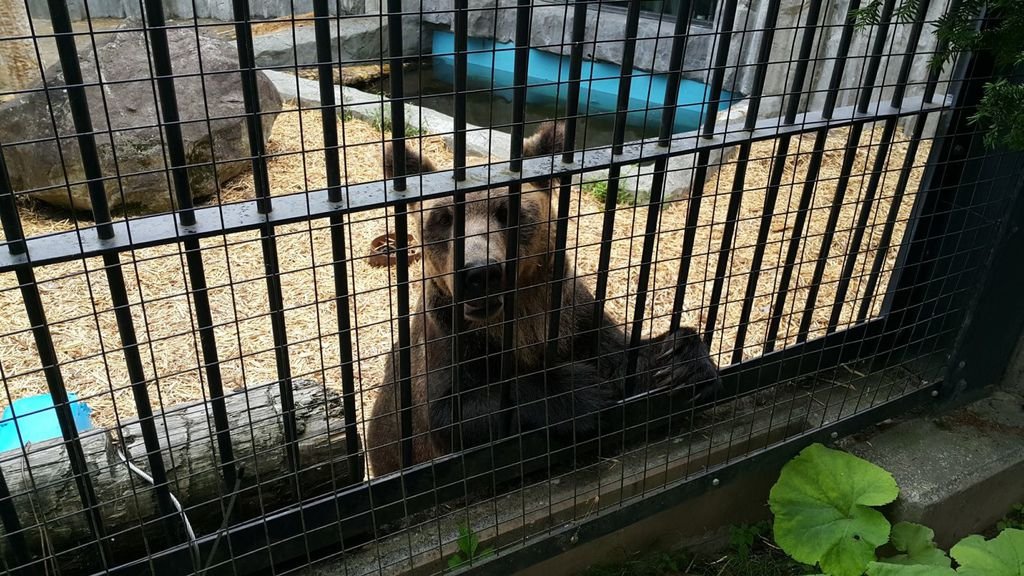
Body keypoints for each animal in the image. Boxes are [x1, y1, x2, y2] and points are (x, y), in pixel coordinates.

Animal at [368, 124, 720, 475]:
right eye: (443, 218)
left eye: (508, 212)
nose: (479, 273)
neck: (519, 315)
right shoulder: (447, 339)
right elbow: (452, 411)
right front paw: (582, 390)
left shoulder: (573, 315)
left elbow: (623, 356)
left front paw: (679, 360)